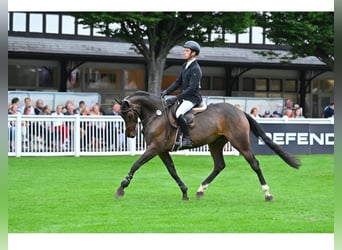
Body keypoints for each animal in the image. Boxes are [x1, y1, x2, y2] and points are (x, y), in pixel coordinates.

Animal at [114, 90, 300, 201]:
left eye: (129, 115)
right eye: (122, 116)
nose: (130, 135)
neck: (157, 114)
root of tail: (239, 111)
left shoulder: (154, 148)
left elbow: (136, 165)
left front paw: (121, 187)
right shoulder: (162, 151)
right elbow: (172, 171)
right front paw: (184, 191)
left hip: (240, 142)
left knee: (254, 164)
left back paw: (267, 193)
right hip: (215, 144)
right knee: (219, 165)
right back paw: (200, 190)